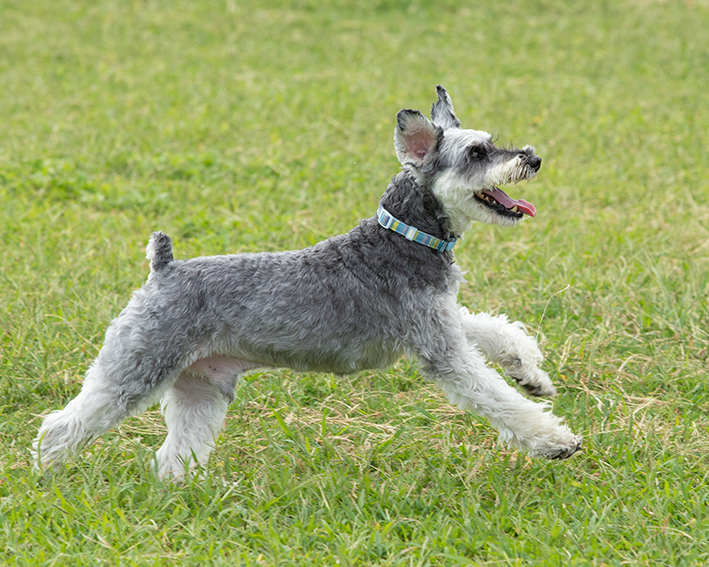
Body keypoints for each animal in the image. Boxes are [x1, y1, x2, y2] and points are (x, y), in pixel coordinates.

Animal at [31, 85, 580, 480]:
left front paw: (529, 372)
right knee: (60, 428)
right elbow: (496, 398)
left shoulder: (442, 320)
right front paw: (555, 440)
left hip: (200, 390)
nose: (532, 158)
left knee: (173, 457)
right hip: (136, 369)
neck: (406, 234)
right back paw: (47, 480)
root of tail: (163, 267)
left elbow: (493, 328)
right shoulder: (440, 348)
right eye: (477, 153)